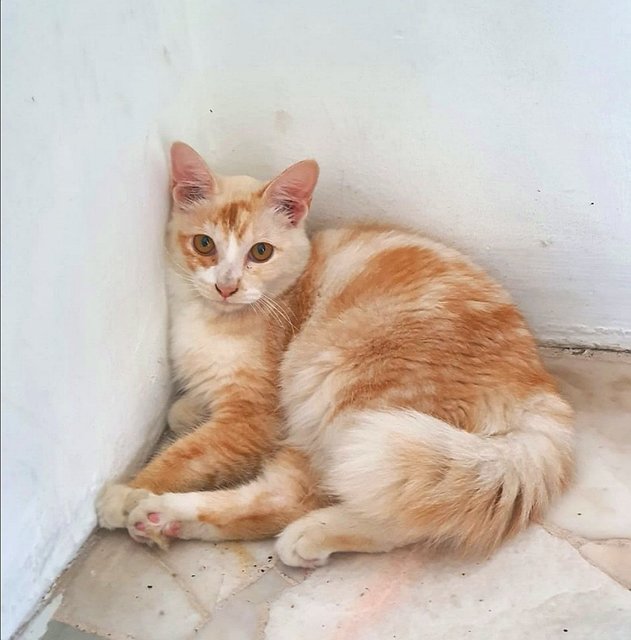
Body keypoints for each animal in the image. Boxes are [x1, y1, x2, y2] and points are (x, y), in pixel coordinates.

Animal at [96, 142, 576, 568]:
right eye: (204, 245)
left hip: (340, 392)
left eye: (260, 252)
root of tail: (539, 389)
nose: (226, 286)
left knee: (335, 504)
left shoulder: (255, 416)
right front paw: (189, 410)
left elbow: (189, 453)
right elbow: (183, 416)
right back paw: (164, 520)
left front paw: (131, 488)